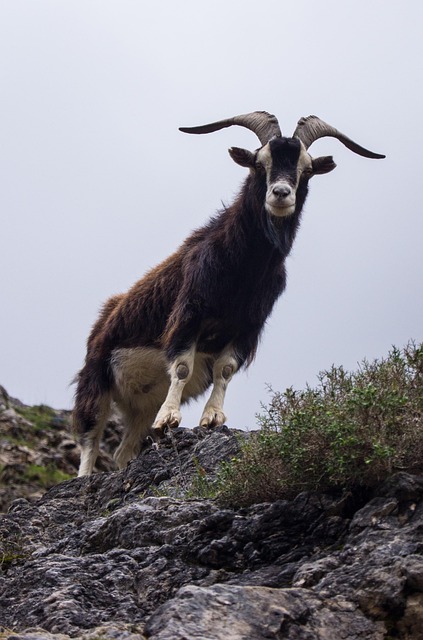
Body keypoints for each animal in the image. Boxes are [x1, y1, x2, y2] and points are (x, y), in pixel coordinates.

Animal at [74, 111, 384, 476]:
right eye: (259, 163)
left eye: (305, 169)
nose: (281, 194)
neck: (241, 269)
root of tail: (105, 315)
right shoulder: (189, 314)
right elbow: (182, 366)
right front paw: (170, 418)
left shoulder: (248, 327)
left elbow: (225, 370)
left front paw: (212, 418)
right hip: (96, 381)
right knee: (91, 439)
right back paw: (84, 476)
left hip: (140, 405)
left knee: (123, 451)